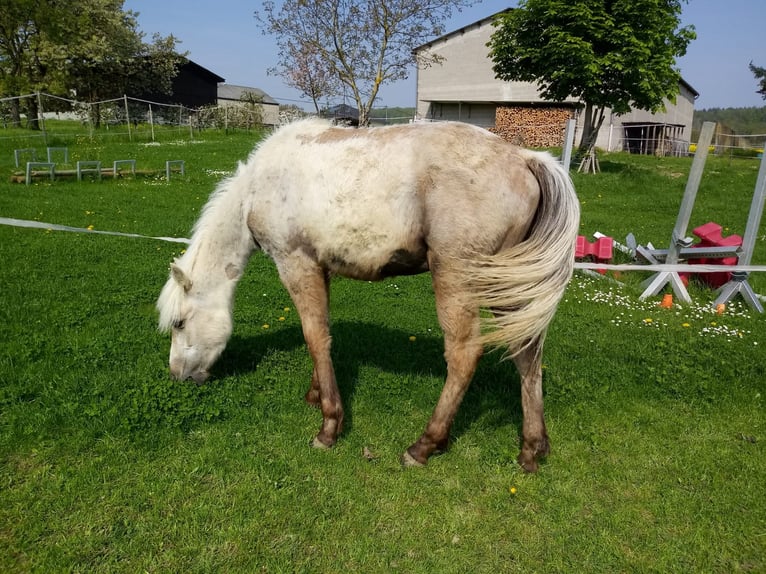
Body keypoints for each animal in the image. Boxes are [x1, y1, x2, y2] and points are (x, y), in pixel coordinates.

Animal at [160, 118, 584, 472]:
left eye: (179, 323)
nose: (178, 375)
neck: (259, 186)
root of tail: (526, 157)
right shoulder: (320, 269)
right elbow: (322, 334)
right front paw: (316, 393)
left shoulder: (296, 263)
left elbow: (314, 335)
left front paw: (329, 425)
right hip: (507, 284)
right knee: (527, 352)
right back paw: (532, 448)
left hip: (458, 279)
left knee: (465, 355)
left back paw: (425, 445)